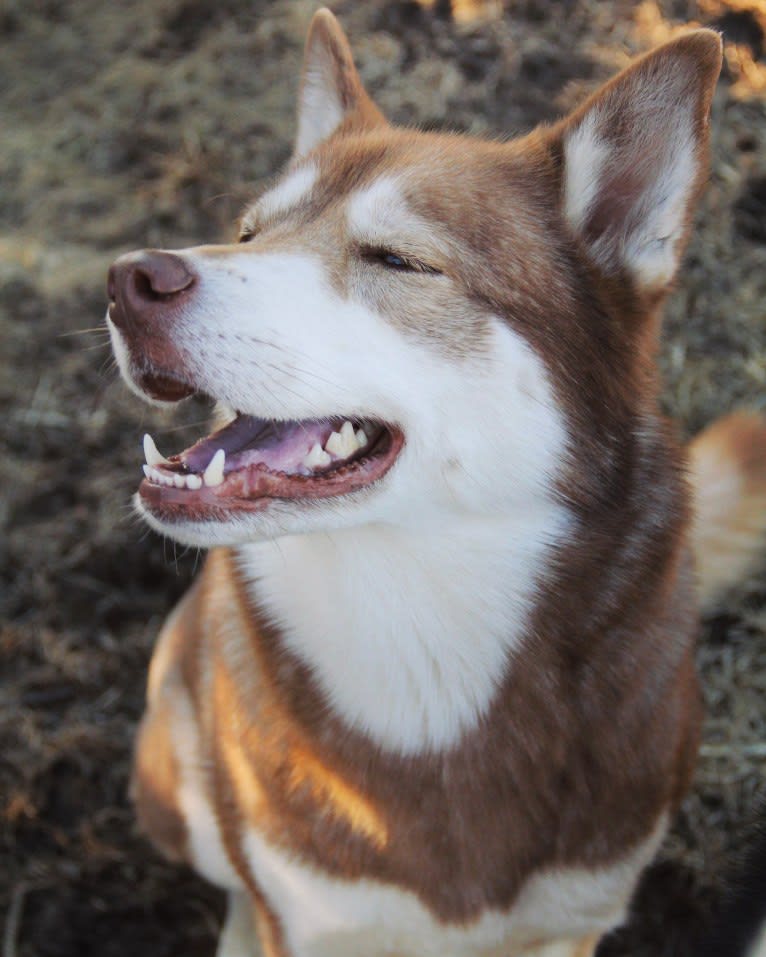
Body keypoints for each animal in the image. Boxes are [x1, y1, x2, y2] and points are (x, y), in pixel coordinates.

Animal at [106, 13, 766, 956]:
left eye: (397, 260)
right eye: (248, 233)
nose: (130, 280)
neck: (428, 653)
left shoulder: (576, 916)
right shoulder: (311, 916)